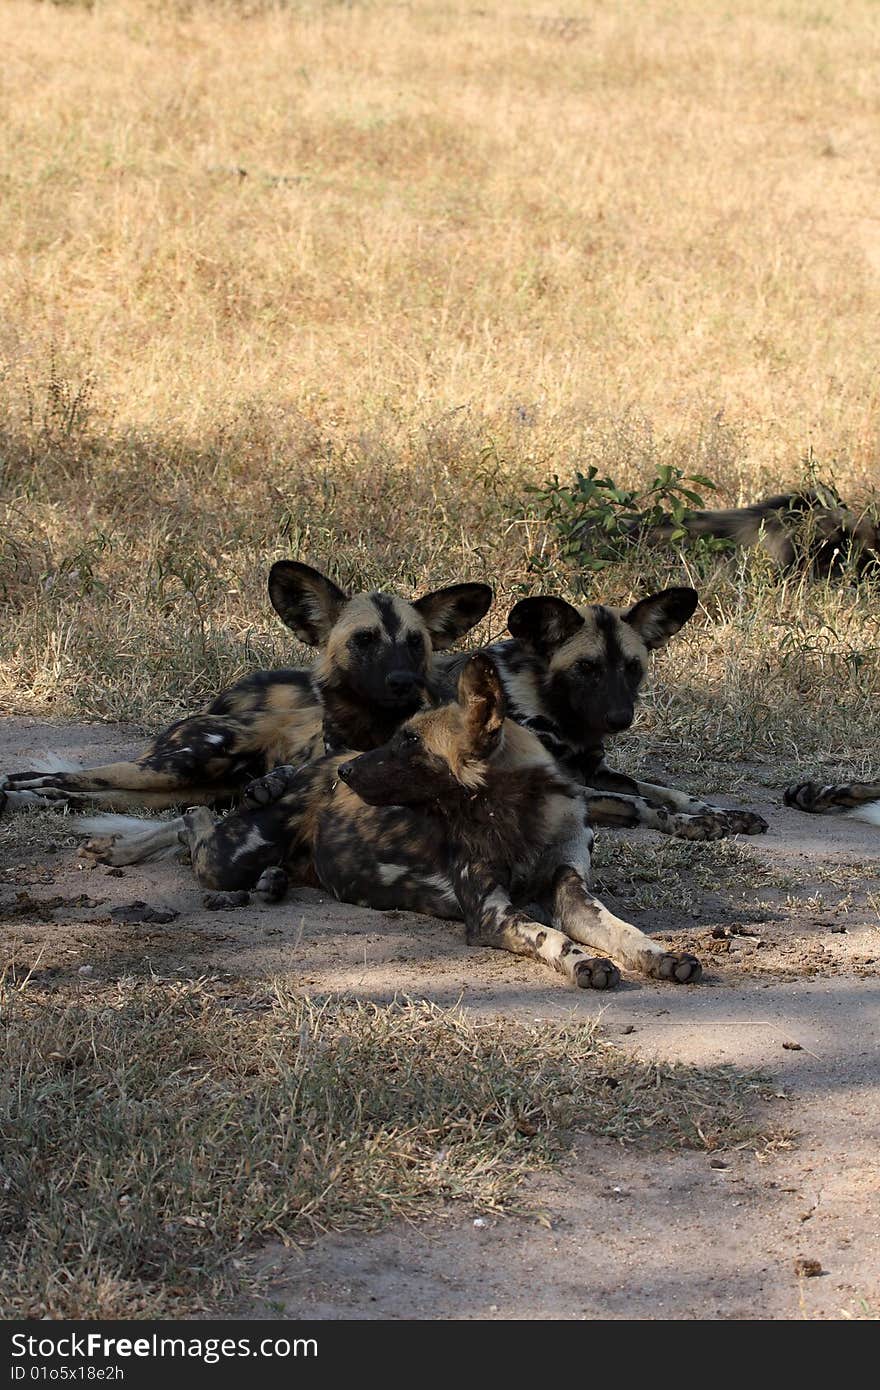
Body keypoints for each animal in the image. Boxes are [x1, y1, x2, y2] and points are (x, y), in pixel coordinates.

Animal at [0, 556, 492, 811]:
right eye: (365, 640)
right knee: (71, 775)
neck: (373, 725)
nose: (403, 680)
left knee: (92, 792)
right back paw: (21, 791)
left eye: (414, 643)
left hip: (180, 790)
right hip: (178, 765)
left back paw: (42, 798)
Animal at [78, 653, 703, 989]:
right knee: (195, 818)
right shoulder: (493, 916)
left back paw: (272, 881)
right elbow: (552, 936)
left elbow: (623, 931)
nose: (348, 769)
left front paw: (661, 956)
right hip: (225, 858)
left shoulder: (574, 894)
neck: (518, 817)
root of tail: (306, 768)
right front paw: (583, 963)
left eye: (410, 742)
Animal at [439, 583, 767, 834]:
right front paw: (688, 822)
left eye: (632, 667)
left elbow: (672, 793)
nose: (620, 718)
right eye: (586, 667)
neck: (568, 724)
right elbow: (643, 802)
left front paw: (723, 813)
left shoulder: (598, 772)